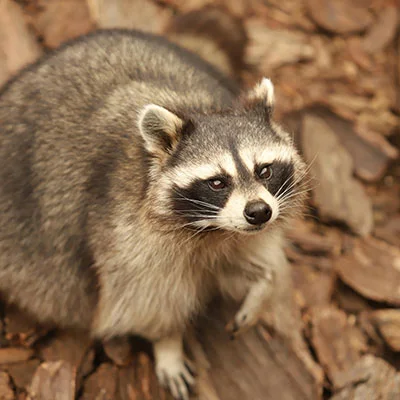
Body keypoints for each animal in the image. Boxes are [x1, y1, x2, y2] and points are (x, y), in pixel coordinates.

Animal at [0, 28, 306, 400]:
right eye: (217, 182)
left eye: (264, 170)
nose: (259, 212)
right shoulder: (125, 233)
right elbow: (146, 300)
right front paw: (168, 343)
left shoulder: (236, 234)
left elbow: (241, 260)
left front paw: (263, 285)